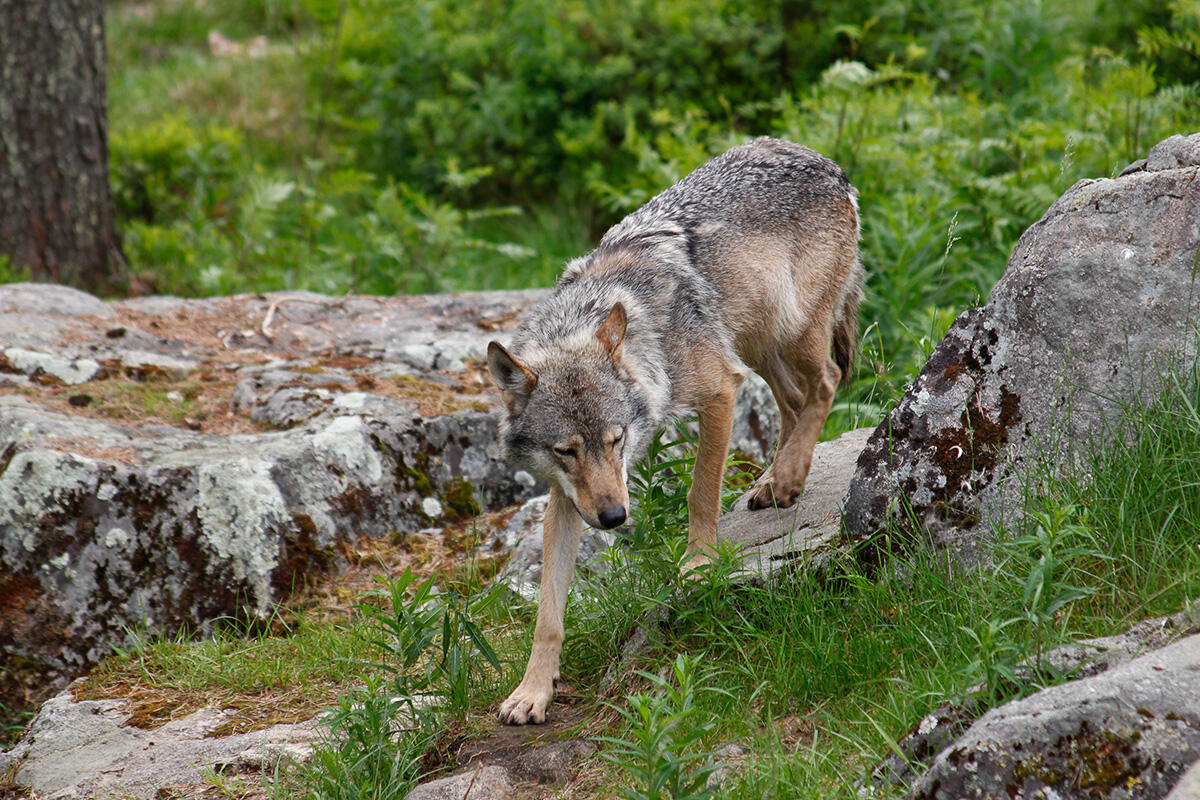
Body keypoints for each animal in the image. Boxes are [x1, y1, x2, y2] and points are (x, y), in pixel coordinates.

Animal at [487, 137, 863, 724]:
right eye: (566, 451)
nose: (613, 518)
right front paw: (532, 692)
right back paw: (774, 482)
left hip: (788, 333)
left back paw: (786, 478)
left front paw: (699, 563)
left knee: (824, 382)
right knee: (794, 400)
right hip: (754, 343)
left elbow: (700, 491)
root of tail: (823, 161)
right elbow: (548, 612)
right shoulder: (567, 497)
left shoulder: (720, 392)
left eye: (617, 439)